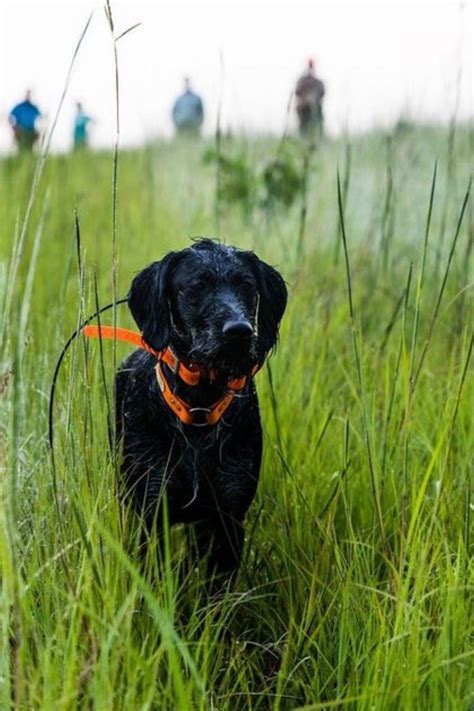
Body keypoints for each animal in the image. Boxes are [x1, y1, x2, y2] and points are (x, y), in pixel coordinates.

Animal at [115, 242, 286, 588]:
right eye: (197, 286)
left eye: (247, 286)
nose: (239, 332)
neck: (199, 407)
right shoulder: (150, 511)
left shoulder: (228, 517)